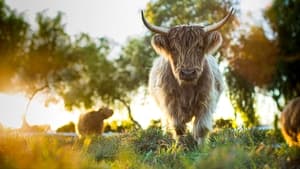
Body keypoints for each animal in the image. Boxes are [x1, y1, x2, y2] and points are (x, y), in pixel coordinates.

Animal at [142, 7, 236, 143]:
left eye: (199, 47)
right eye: (174, 49)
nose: (188, 73)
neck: (187, 88)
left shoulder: (206, 101)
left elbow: (201, 128)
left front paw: (201, 147)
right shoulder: (170, 103)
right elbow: (178, 128)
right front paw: (181, 146)